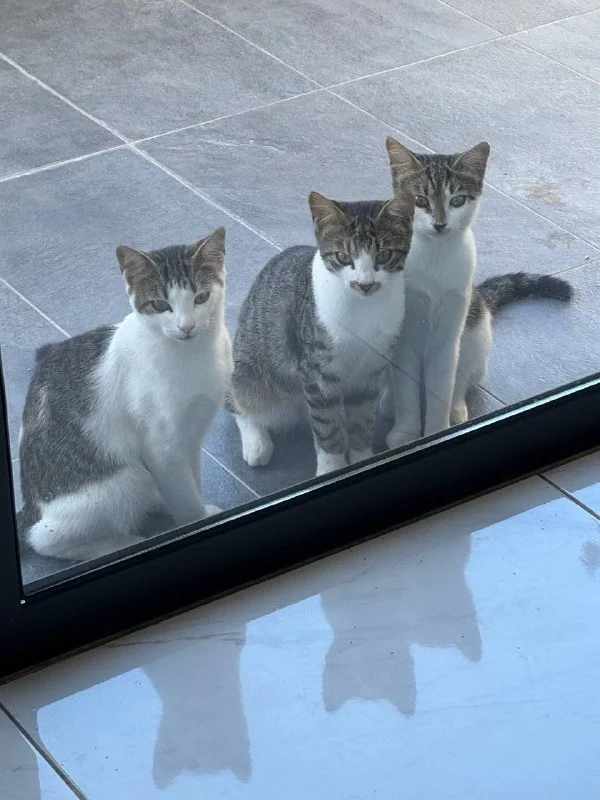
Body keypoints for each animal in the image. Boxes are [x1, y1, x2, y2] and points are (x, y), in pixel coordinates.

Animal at [17, 228, 232, 562]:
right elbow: (185, 497)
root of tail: (30, 507)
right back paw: (122, 542)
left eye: (201, 297)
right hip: (122, 481)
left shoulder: (191, 433)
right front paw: (197, 521)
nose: (186, 326)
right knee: (45, 539)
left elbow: (189, 481)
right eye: (160, 304)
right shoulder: (162, 444)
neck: (192, 355)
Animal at [228, 190, 415, 477]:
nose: (365, 283)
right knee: (239, 402)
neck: (364, 310)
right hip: (252, 371)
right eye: (343, 256)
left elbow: (362, 419)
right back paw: (256, 442)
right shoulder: (317, 370)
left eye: (384, 255)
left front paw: (361, 458)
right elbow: (328, 426)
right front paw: (331, 469)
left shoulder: (372, 368)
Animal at [382, 138, 572, 447]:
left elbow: (442, 388)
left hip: (476, 331)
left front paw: (436, 431)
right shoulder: (404, 338)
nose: (439, 224)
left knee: (463, 379)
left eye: (457, 201)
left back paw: (457, 409)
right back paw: (388, 402)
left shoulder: (449, 336)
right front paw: (406, 433)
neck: (435, 256)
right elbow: (406, 390)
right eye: (420, 201)